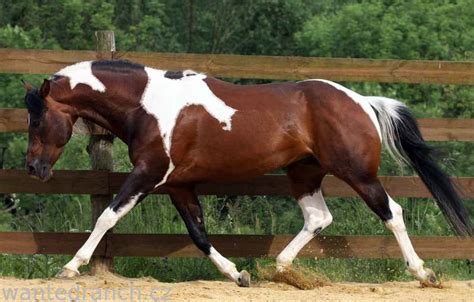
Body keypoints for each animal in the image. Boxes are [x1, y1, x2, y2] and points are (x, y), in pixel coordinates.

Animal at [21, 59, 470, 288]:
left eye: (37, 120)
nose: (32, 168)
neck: (148, 105)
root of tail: (361, 100)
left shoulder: (149, 173)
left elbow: (107, 216)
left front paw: (70, 267)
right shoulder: (178, 184)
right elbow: (199, 234)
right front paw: (238, 273)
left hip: (357, 173)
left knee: (391, 212)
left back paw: (424, 273)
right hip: (303, 173)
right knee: (318, 218)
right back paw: (283, 270)